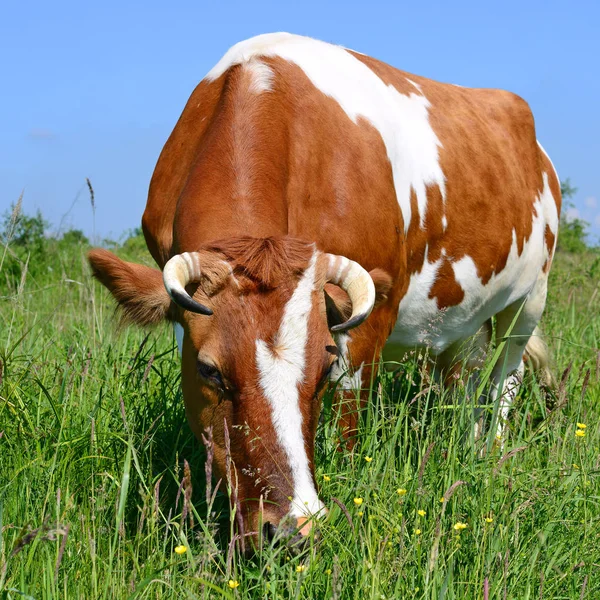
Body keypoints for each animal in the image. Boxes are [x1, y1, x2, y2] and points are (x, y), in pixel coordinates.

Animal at [86, 31, 560, 548]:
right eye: (209, 370)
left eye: (324, 367)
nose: (292, 530)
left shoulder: (370, 319)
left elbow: (349, 423)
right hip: (461, 318)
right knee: (465, 376)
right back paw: (465, 442)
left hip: (529, 299)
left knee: (507, 377)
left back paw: (491, 450)